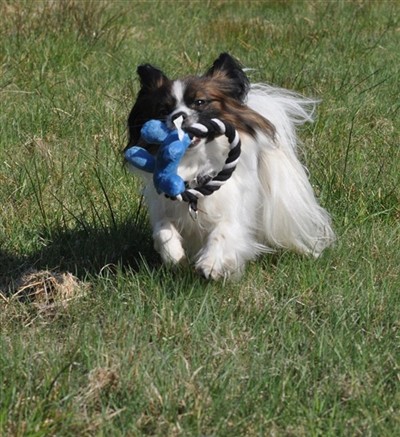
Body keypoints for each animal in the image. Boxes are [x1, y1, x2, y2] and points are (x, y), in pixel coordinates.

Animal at [125, 53, 334, 280]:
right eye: (164, 110)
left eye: (200, 102)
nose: (177, 116)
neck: (195, 165)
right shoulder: (162, 206)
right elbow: (163, 229)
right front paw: (174, 256)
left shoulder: (234, 209)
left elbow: (222, 232)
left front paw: (210, 264)